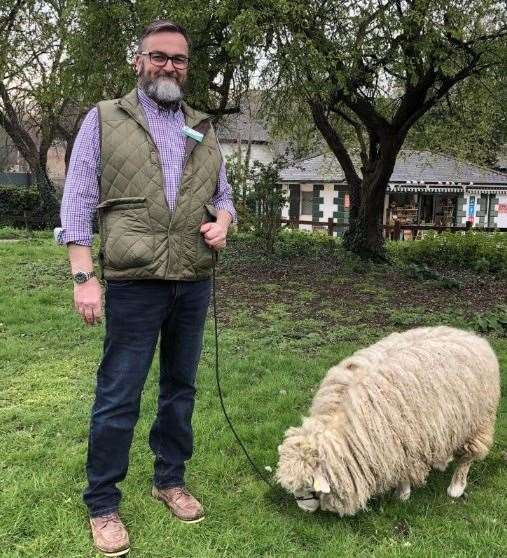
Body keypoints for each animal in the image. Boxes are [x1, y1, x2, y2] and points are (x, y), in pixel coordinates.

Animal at [278, 326, 500, 520]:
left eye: (308, 487)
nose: (303, 510)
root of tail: (471, 336)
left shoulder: (405, 443)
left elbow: (405, 472)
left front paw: (402, 495)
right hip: (448, 420)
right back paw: (441, 461)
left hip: (478, 421)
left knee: (467, 457)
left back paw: (456, 487)